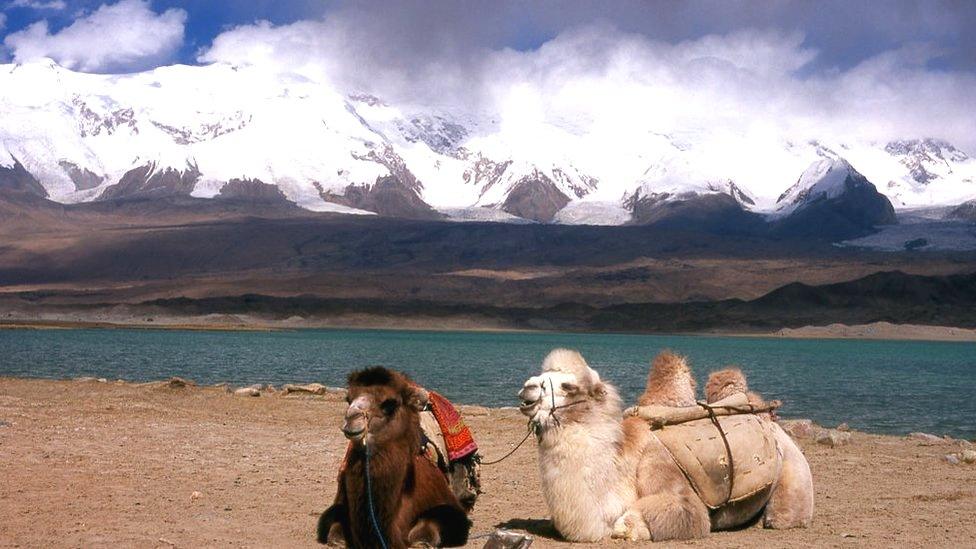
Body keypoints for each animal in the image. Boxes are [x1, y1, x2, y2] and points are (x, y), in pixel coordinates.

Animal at [318, 366, 470, 544]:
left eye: (390, 403)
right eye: (348, 399)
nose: (352, 418)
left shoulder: (449, 506)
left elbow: (435, 521)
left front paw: (422, 543)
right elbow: (333, 528)